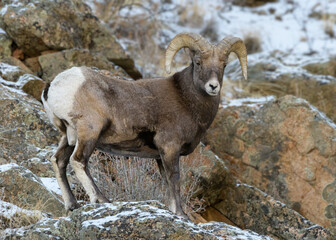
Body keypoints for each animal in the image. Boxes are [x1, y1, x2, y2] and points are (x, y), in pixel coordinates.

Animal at [41, 32, 247, 218]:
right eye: (198, 62)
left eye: (224, 65)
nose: (213, 86)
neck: (187, 100)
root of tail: (54, 85)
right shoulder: (170, 148)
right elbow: (174, 179)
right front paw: (181, 214)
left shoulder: (160, 156)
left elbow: (166, 182)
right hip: (89, 132)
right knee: (78, 160)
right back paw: (101, 200)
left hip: (68, 136)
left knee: (59, 161)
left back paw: (72, 205)